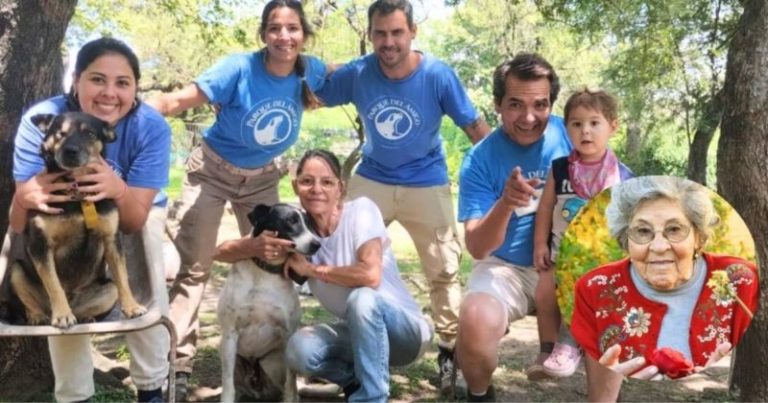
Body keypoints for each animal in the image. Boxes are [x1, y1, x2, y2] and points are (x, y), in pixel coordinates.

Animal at [219, 205, 320, 403]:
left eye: (309, 222)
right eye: (291, 220)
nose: (317, 244)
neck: (265, 272)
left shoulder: (288, 333)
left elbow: (291, 382)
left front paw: (291, 398)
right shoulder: (230, 333)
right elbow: (227, 384)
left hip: (271, 362)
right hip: (228, 353)